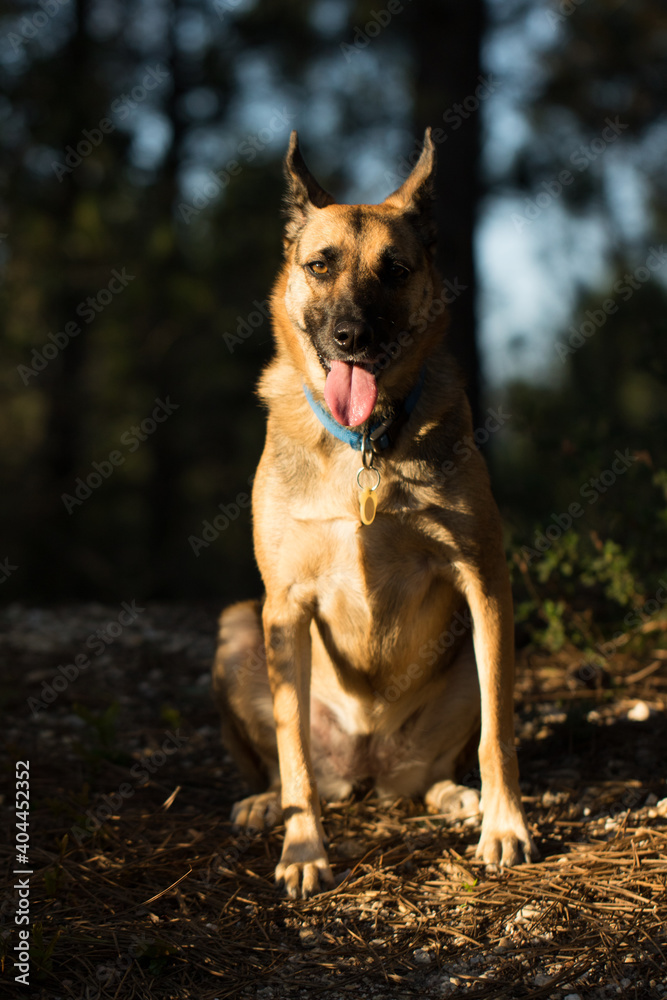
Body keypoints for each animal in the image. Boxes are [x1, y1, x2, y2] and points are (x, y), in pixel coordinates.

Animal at [214, 127, 536, 900]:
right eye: (319, 266)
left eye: (395, 270)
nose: (351, 337)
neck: (365, 442)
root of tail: (367, 768)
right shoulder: (283, 606)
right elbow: (293, 748)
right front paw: (303, 850)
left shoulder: (485, 582)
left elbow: (498, 733)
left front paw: (505, 825)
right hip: (238, 629)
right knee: (285, 765)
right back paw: (266, 802)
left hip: (477, 650)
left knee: (441, 766)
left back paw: (455, 795)